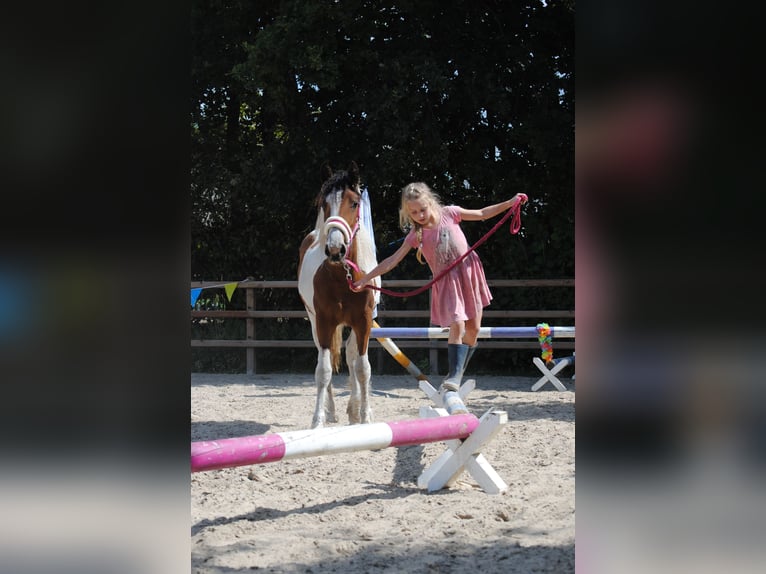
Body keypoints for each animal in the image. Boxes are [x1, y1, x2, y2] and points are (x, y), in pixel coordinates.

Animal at [298, 161, 380, 429]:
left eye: (354, 203)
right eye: (324, 204)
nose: (335, 249)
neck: (343, 277)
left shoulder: (364, 322)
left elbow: (362, 367)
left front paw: (365, 417)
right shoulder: (324, 322)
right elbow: (323, 370)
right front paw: (318, 421)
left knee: (353, 357)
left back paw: (354, 410)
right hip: (315, 322)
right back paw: (332, 411)